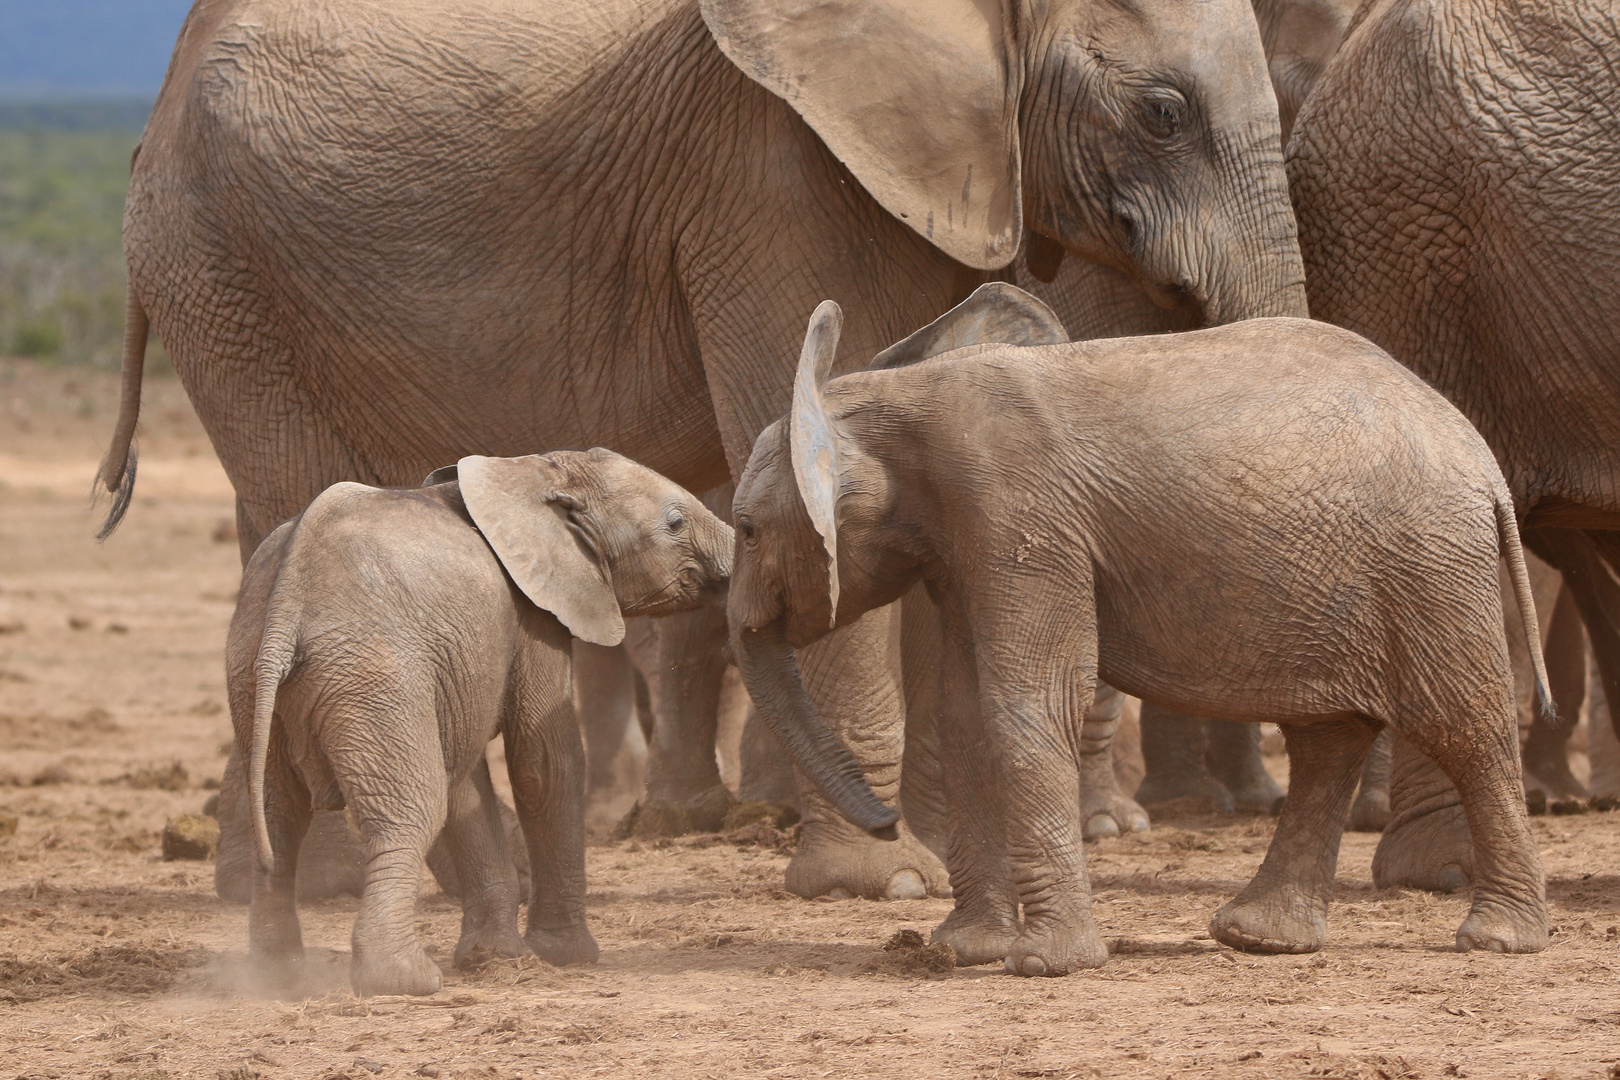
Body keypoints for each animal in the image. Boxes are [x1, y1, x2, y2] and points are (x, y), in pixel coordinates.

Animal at [104, 0, 1302, 900]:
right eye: (1163, 112)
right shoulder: (773, 176)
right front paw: (883, 882)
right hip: (221, 271)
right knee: (297, 491)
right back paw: (333, 885)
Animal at [226, 446, 729, 997]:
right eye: (675, 523)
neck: (530, 471)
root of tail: (286, 607)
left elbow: (464, 780)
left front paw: (496, 958)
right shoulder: (534, 614)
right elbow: (542, 764)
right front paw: (565, 956)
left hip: (253, 680)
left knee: (279, 819)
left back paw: (278, 977)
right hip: (374, 676)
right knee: (411, 811)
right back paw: (405, 980)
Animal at [729, 286, 1548, 977]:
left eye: (746, 530)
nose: (887, 822)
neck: (885, 402)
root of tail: (1483, 461)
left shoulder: (1018, 514)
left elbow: (1027, 704)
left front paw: (1044, 966)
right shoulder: (962, 548)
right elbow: (967, 716)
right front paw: (962, 952)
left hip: (1431, 564)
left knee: (1461, 726)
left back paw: (1497, 939)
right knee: (1328, 736)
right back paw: (1259, 938)